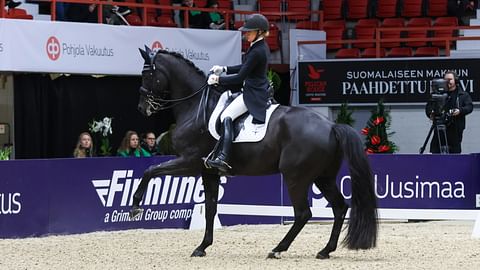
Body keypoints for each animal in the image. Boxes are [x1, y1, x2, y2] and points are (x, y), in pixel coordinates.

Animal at [131, 47, 378, 258]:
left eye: (146, 75)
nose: (142, 108)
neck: (195, 107)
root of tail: (331, 126)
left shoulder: (190, 162)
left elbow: (151, 170)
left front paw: (135, 207)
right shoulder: (208, 171)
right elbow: (210, 208)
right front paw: (202, 247)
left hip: (295, 176)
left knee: (303, 213)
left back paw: (278, 249)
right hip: (323, 177)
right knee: (339, 207)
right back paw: (325, 250)